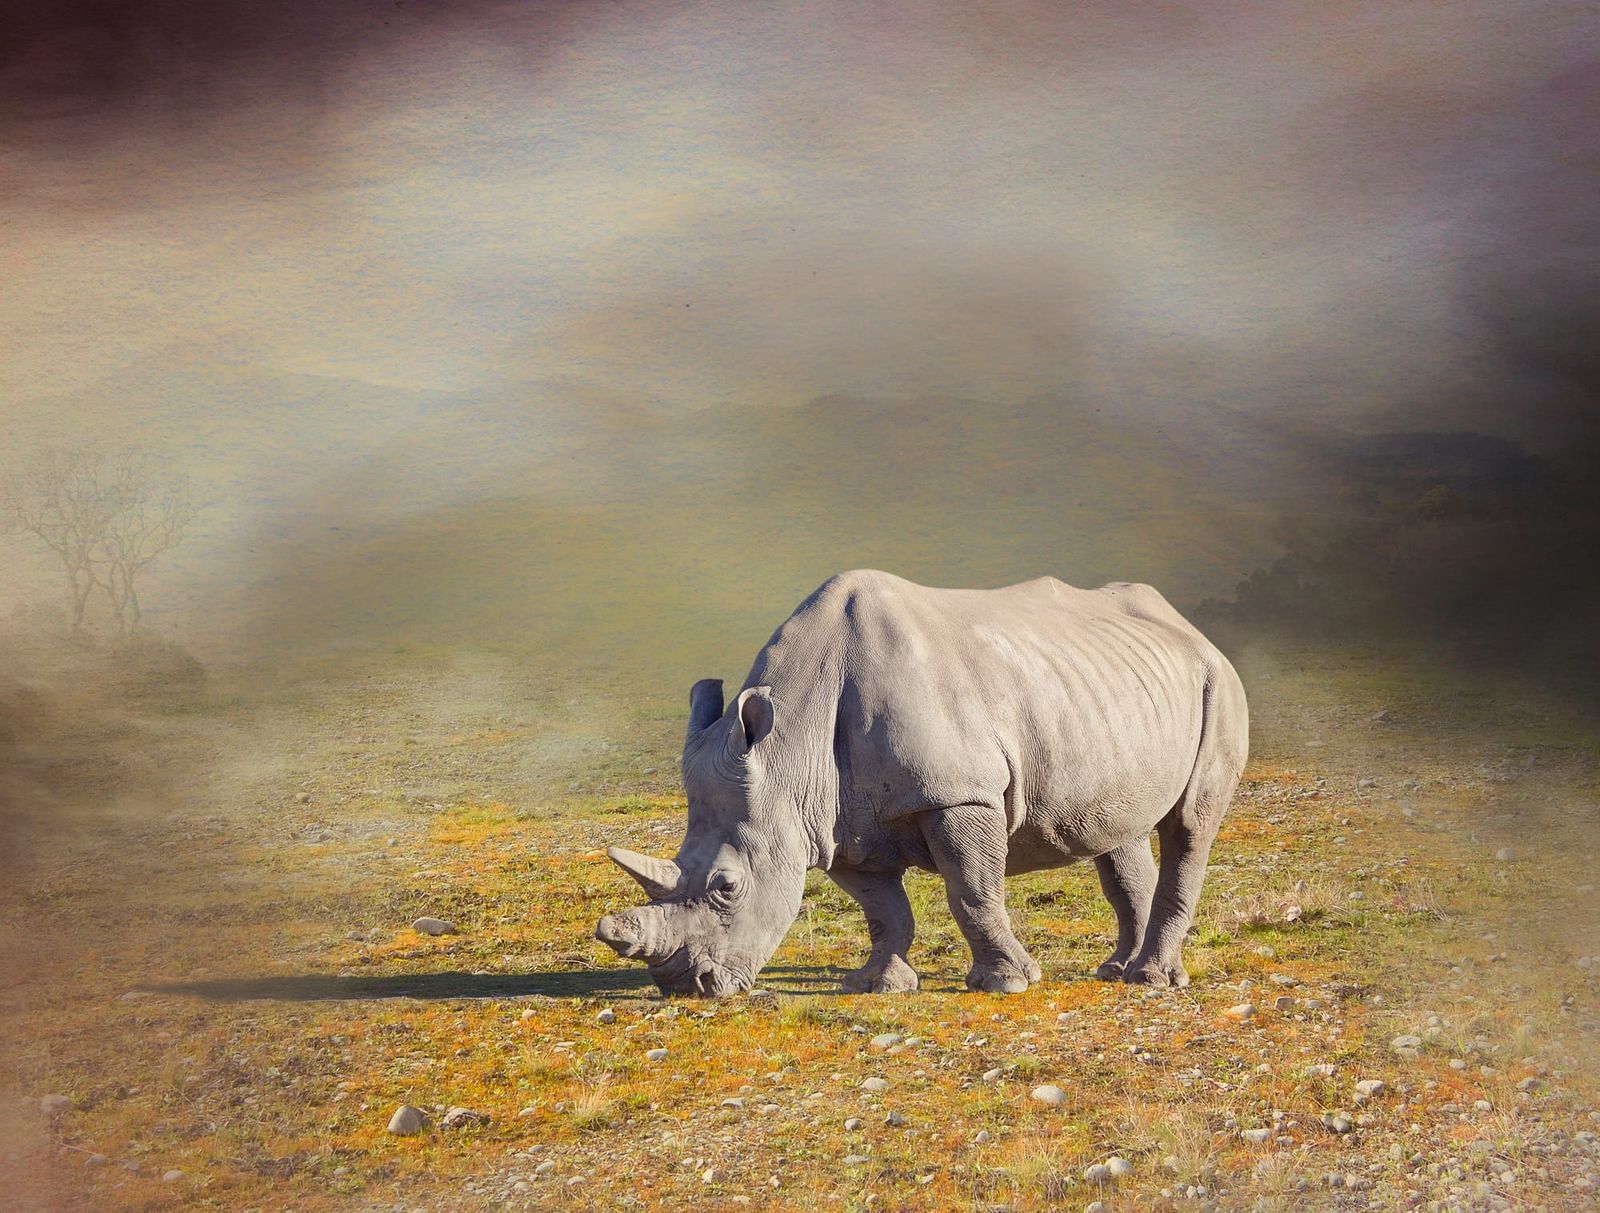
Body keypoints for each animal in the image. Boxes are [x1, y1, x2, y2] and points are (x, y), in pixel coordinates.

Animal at [595, 570, 1248, 997]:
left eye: (727, 888)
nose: (687, 986)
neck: (788, 753)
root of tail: (1188, 627)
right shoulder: (833, 823)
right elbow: (884, 909)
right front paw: (877, 984)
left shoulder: (960, 793)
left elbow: (972, 891)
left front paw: (1008, 984)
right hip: (1102, 694)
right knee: (1116, 828)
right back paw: (1116, 971)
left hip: (1216, 681)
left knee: (1189, 825)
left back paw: (1153, 980)